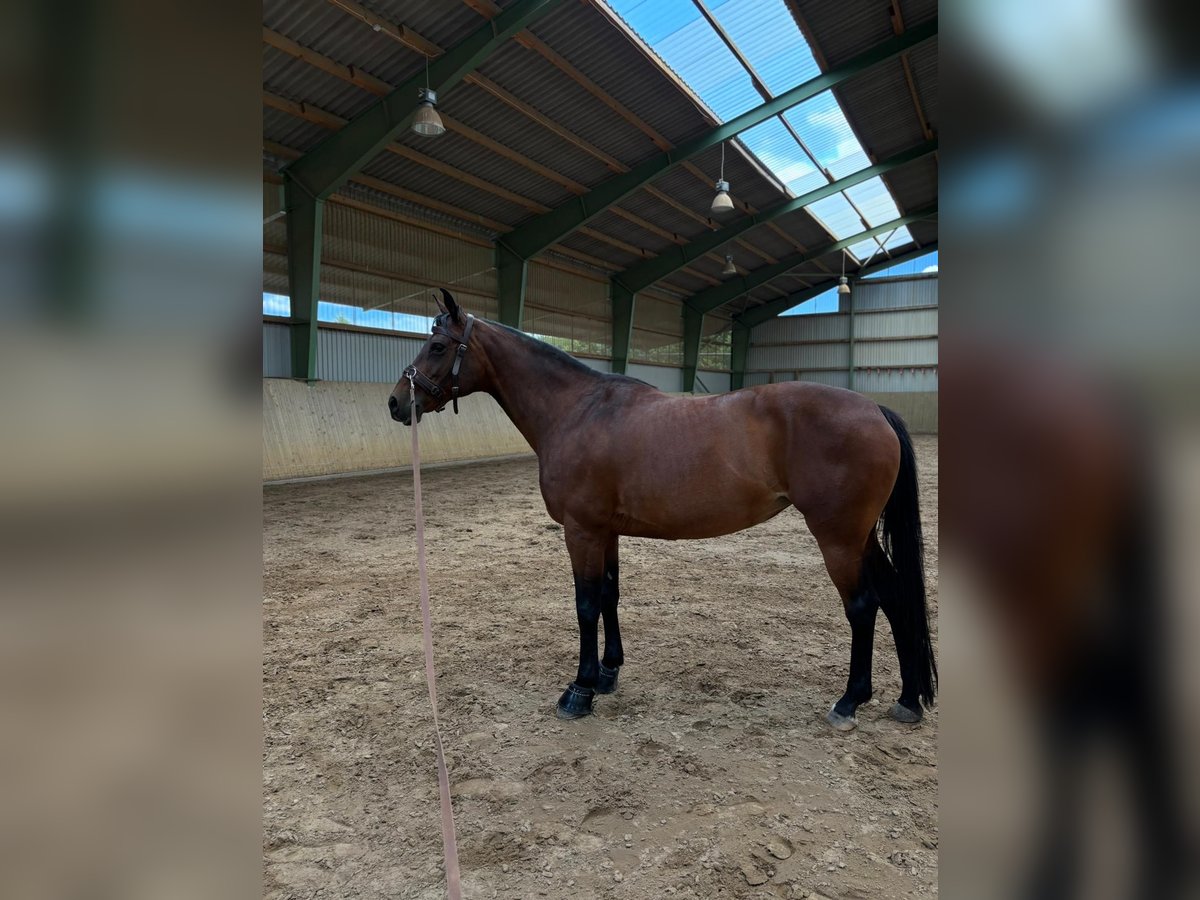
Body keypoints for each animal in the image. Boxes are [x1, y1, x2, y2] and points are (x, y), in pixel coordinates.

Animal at [388, 292, 931, 729]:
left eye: (437, 346)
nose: (395, 403)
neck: (577, 410)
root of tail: (874, 410)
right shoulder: (604, 531)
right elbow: (609, 595)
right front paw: (608, 672)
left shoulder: (581, 531)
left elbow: (585, 605)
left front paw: (579, 690)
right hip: (859, 537)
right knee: (896, 596)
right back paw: (907, 700)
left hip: (838, 537)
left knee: (862, 606)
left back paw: (848, 702)